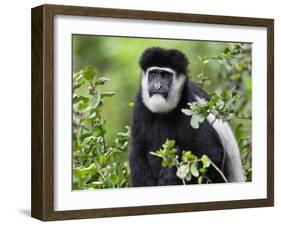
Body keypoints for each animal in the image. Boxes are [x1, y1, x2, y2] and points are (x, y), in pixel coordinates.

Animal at [129, 46, 243, 186]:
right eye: (154, 74)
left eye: (165, 75)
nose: (157, 86)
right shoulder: (141, 104)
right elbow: (138, 149)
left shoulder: (191, 107)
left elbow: (211, 154)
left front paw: (169, 178)